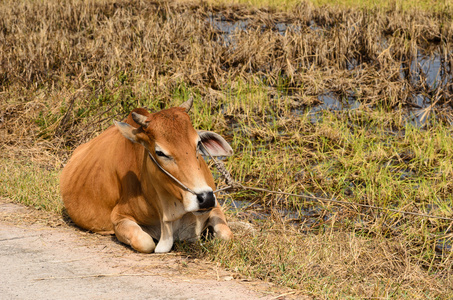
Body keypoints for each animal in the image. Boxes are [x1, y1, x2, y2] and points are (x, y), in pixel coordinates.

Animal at [60, 99, 233, 253]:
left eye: (198, 144)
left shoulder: (215, 207)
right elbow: (145, 242)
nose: (205, 198)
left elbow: (226, 235)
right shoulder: (119, 217)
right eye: (160, 152)